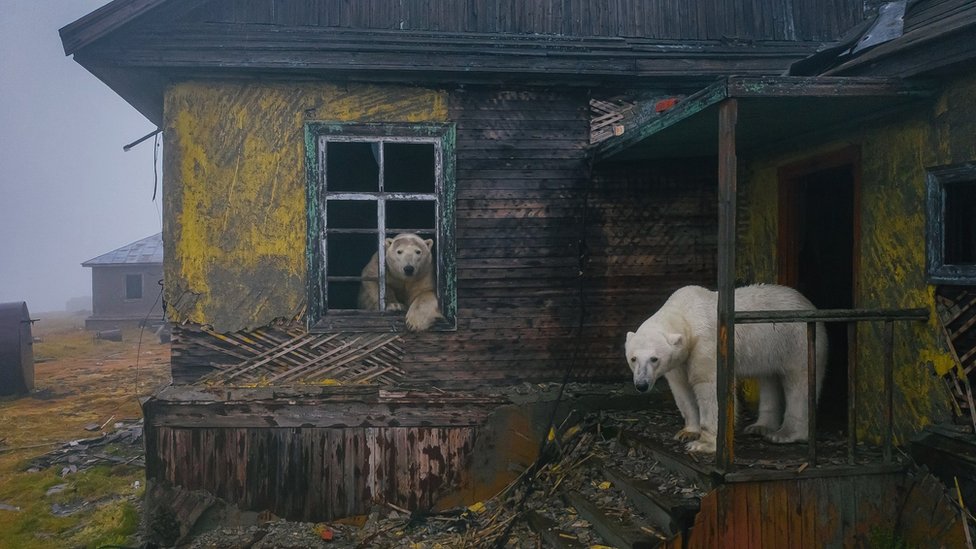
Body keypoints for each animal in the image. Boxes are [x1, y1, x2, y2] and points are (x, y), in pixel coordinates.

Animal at [624, 284, 827, 454]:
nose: (641, 385)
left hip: (796, 339)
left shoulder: (707, 344)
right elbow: (681, 389)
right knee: (768, 378)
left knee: (799, 381)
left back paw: (785, 434)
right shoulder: (680, 359)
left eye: (654, 358)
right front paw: (687, 432)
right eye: (633, 358)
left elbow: (710, 387)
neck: (685, 314)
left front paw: (703, 444)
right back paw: (760, 427)